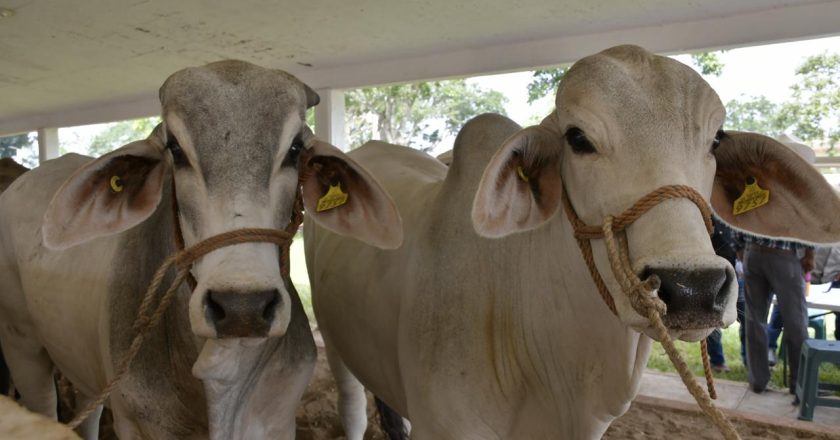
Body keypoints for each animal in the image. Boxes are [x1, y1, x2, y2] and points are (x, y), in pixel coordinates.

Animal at [0, 61, 402, 440]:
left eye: (294, 150)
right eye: (176, 149)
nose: (243, 307)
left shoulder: (276, 420)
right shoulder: (137, 424)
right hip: (23, 349)